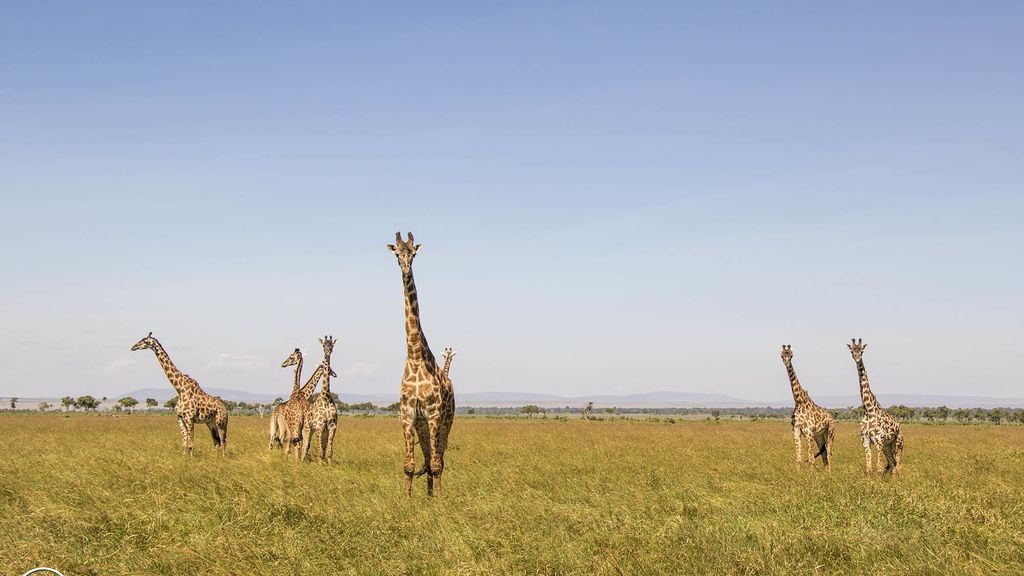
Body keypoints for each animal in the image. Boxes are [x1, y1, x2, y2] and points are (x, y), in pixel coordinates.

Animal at [303, 334, 339, 463]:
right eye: (324, 345)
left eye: (332, 345)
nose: (328, 351)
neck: (326, 396)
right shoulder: (319, 426)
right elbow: (319, 451)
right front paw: (320, 465)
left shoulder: (332, 426)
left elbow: (328, 451)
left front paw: (328, 465)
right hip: (308, 429)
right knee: (305, 446)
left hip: (323, 431)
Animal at [847, 336, 905, 471]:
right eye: (852, 351)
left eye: (862, 350)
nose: (857, 358)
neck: (869, 409)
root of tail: (900, 424)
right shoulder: (865, 440)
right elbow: (869, 467)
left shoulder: (878, 440)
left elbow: (879, 467)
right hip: (888, 446)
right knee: (893, 464)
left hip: (898, 443)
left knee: (898, 464)